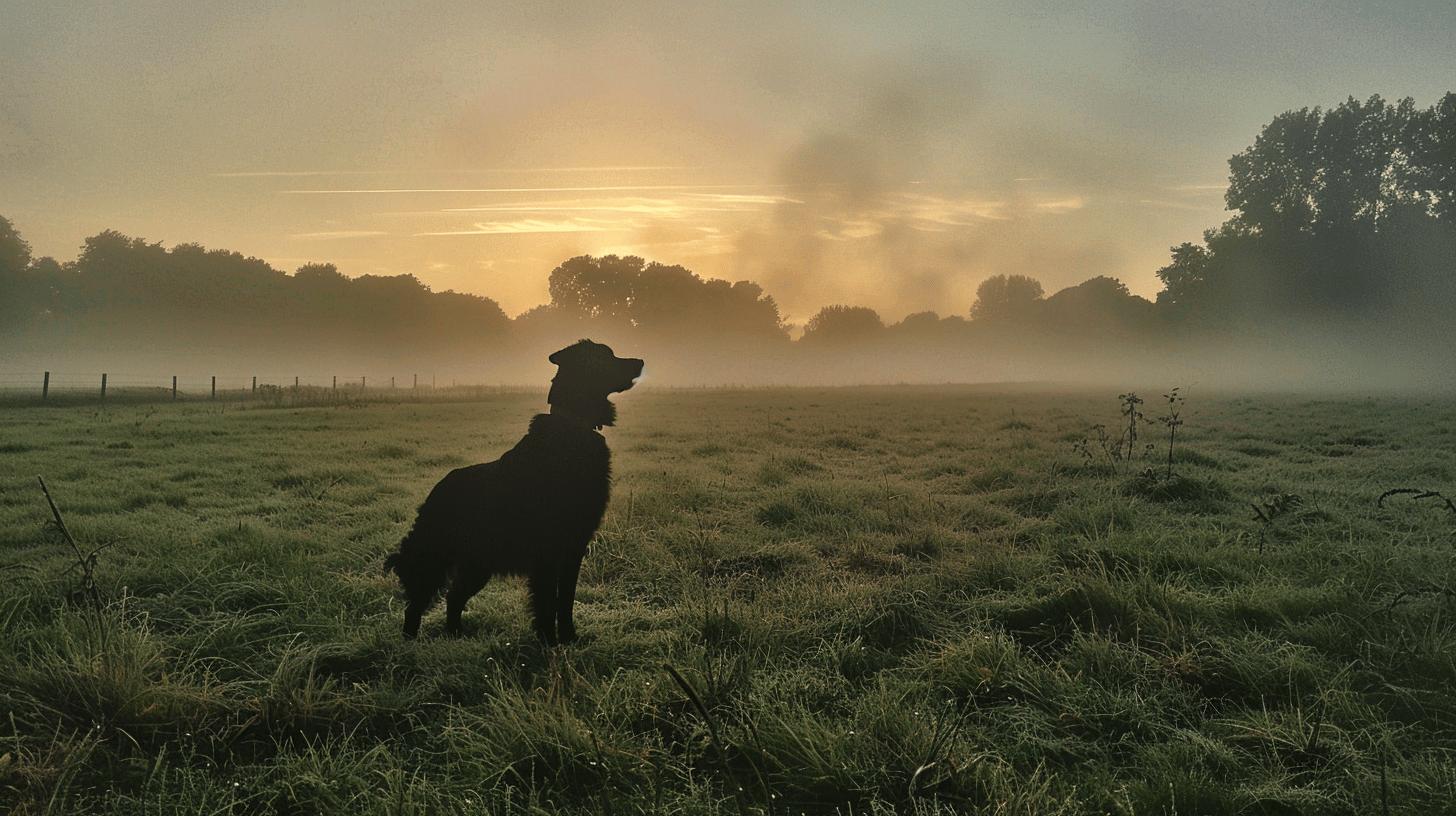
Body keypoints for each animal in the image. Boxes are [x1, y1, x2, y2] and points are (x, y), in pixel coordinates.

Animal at [387, 339, 643, 644]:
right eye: (607, 356)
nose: (641, 362)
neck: (572, 426)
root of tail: (435, 492)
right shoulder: (547, 550)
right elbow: (547, 602)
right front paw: (549, 643)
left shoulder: (574, 545)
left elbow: (565, 601)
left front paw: (569, 639)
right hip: (437, 559)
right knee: (415, 606)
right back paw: (410, 644)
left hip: (478, 564)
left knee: (453, 597)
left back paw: (456, 635)